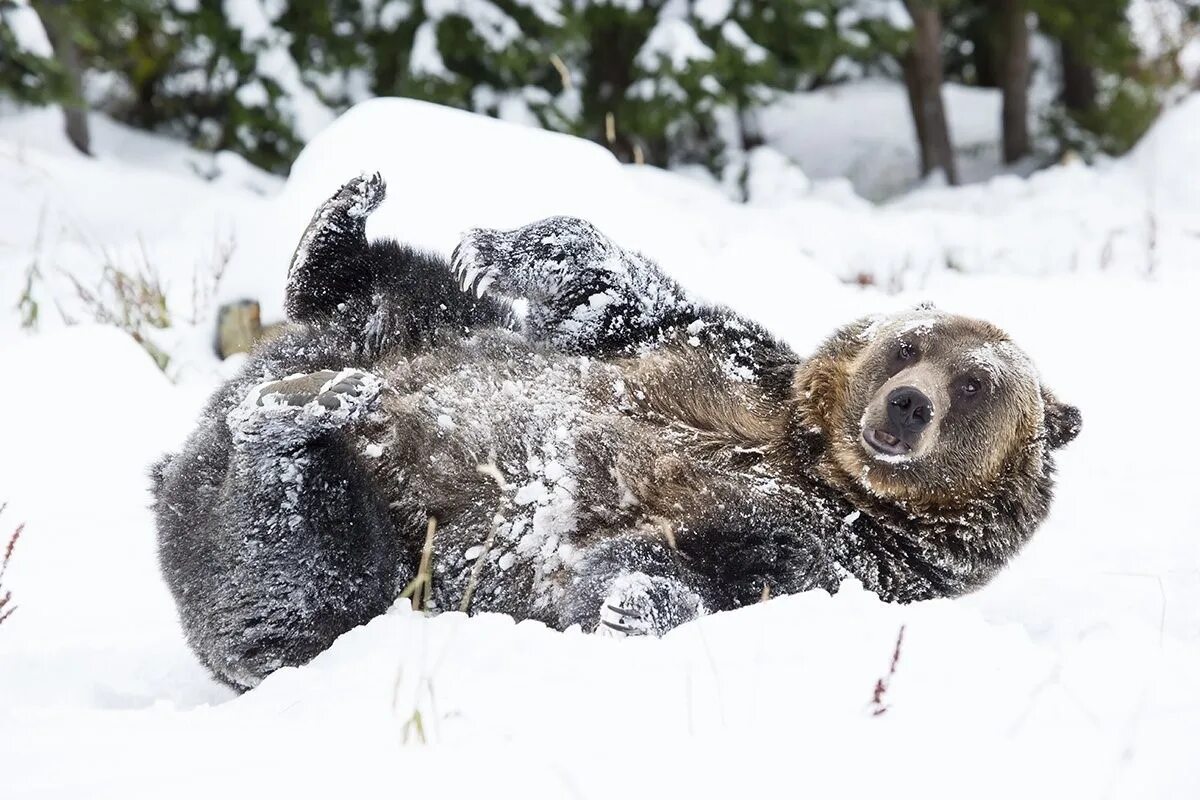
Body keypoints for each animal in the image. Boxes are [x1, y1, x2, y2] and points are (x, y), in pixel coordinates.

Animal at [150, 173, 1080, 690]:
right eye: (910, 343)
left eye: (975, 383)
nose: (908, 404)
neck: (817, 463)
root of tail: (182, 466)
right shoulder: (718, 362)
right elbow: (614, 289)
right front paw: (495, 245)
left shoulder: (834, 556)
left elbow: (691, 572)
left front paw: (633, 603)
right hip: (413, 335)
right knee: (395, 289)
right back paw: (338, 230)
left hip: (375, 573)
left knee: (300, 570)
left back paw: (297, 421)